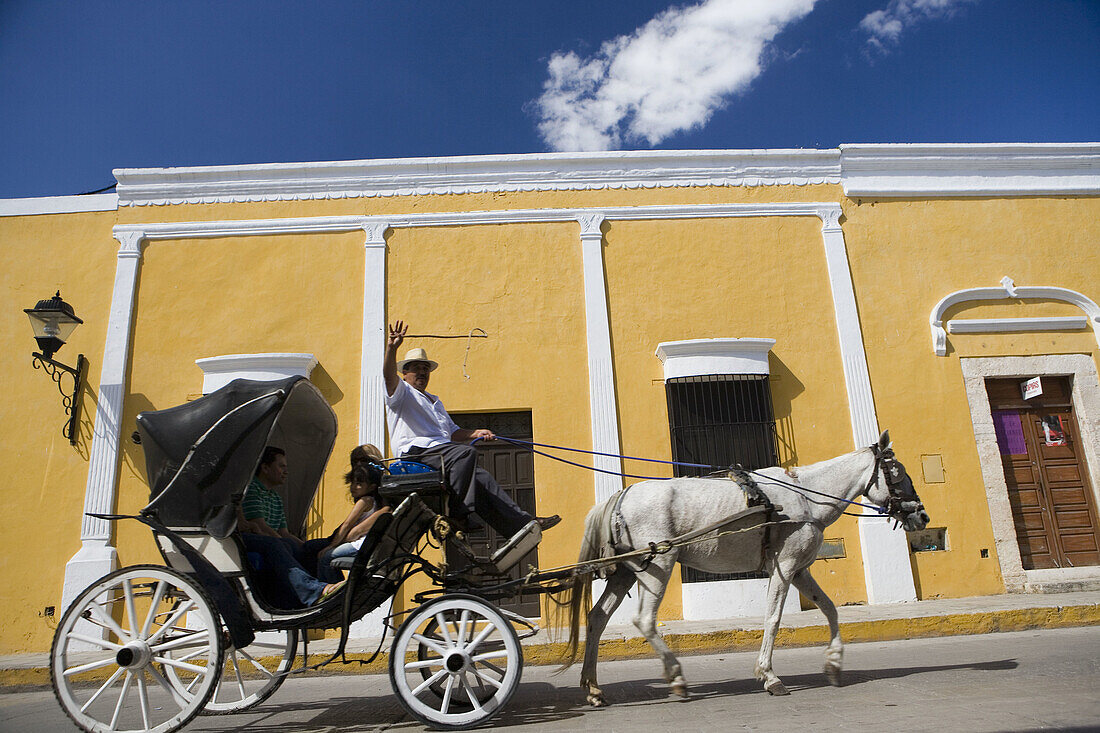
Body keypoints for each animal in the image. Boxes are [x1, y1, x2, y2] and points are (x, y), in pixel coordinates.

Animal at [558, 429, 928, 704]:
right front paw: (769, 676)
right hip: (658, 564)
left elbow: (830, 609)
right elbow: (774, 618)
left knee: (597, 618)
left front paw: (834, 662)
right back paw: (676, 677)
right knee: (644, 620)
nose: (922, 515)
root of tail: (621, 495)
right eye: (897, 473)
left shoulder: (801, 570)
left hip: (624, 570)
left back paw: (593, 687)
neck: (806, 496)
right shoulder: (784, 566)